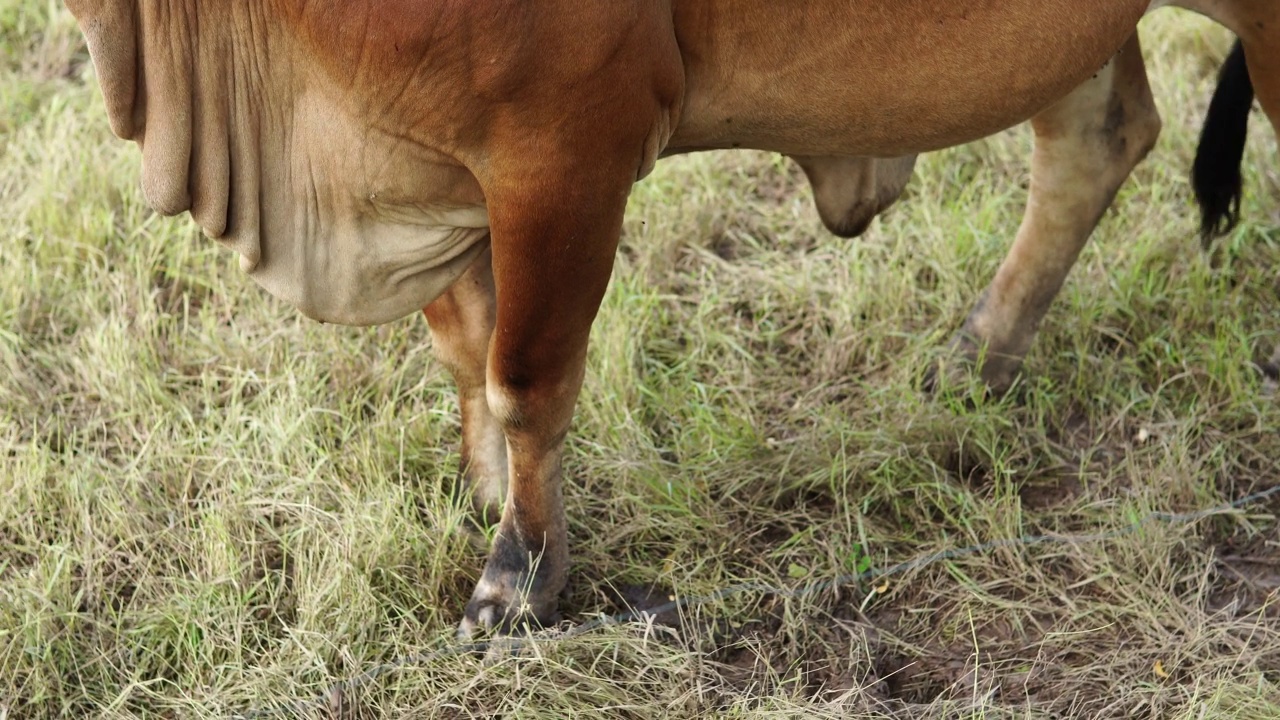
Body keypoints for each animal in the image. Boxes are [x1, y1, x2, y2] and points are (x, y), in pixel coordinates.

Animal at [70, 1, 1167, 632]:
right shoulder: (434, 170)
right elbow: (464, 345)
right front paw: (483, 493)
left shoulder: (560, 146)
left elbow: (523, 381)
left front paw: (519, 575)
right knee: (1097, 137)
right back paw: (978, 357)